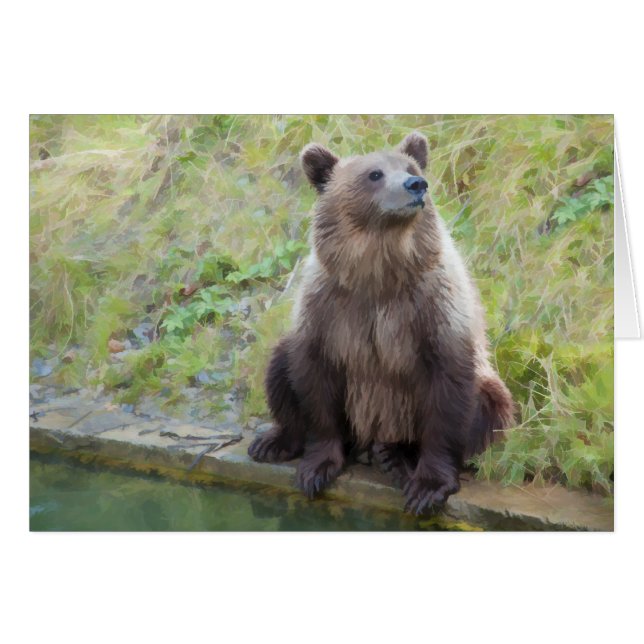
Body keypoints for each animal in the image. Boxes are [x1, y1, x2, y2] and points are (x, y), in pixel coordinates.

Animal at [248, 131, 515, 515]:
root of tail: (369, 439)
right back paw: (273, 442)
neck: (379, 270)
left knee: (490, 406)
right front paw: (316, 467)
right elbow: (315, 381)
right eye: (374, 174)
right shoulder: (329, 309)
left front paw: (428, 486)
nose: (416, 185)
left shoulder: (431, 308)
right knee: (280, 366)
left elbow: (447, 393)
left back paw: (395, 455)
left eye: (411, 167)